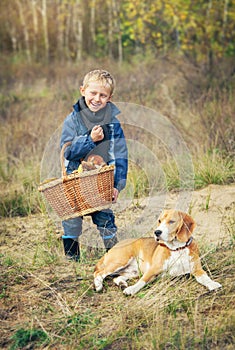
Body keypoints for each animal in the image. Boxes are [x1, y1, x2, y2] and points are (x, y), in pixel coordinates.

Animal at [92, 211, 221, 296]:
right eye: (159, 221)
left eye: (171, 221)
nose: (157, 232)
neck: (177, 249)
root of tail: (114, 246)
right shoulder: (152, 269)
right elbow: (142, 282)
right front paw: (132, 289)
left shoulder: (197, 270)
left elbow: (205, 278)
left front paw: (212, 284)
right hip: (121, 260)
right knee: (98, 273)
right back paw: (99, 286)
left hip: (132, 272)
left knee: (116, 278)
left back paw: (122, 283)